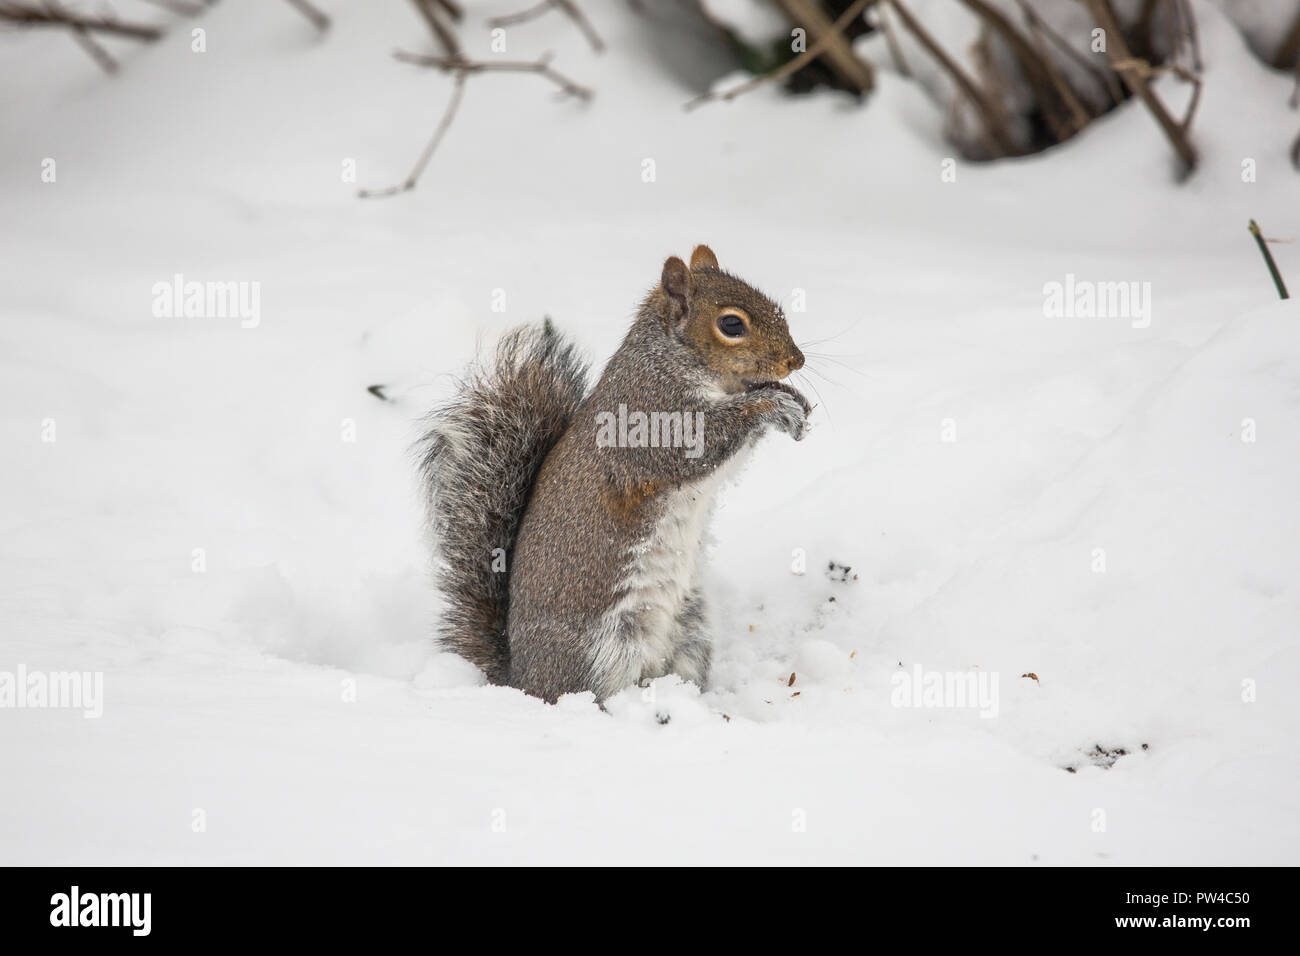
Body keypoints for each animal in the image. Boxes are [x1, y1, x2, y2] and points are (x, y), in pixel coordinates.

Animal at [419, 245, 810, 703]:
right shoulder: (651, 418)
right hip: (603, 648)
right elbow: (700, 443)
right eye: (731, 324)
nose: (796, 361)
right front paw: (773, 404)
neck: (671, 359)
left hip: (691, 631)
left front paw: (790, 397)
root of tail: (520, 681)